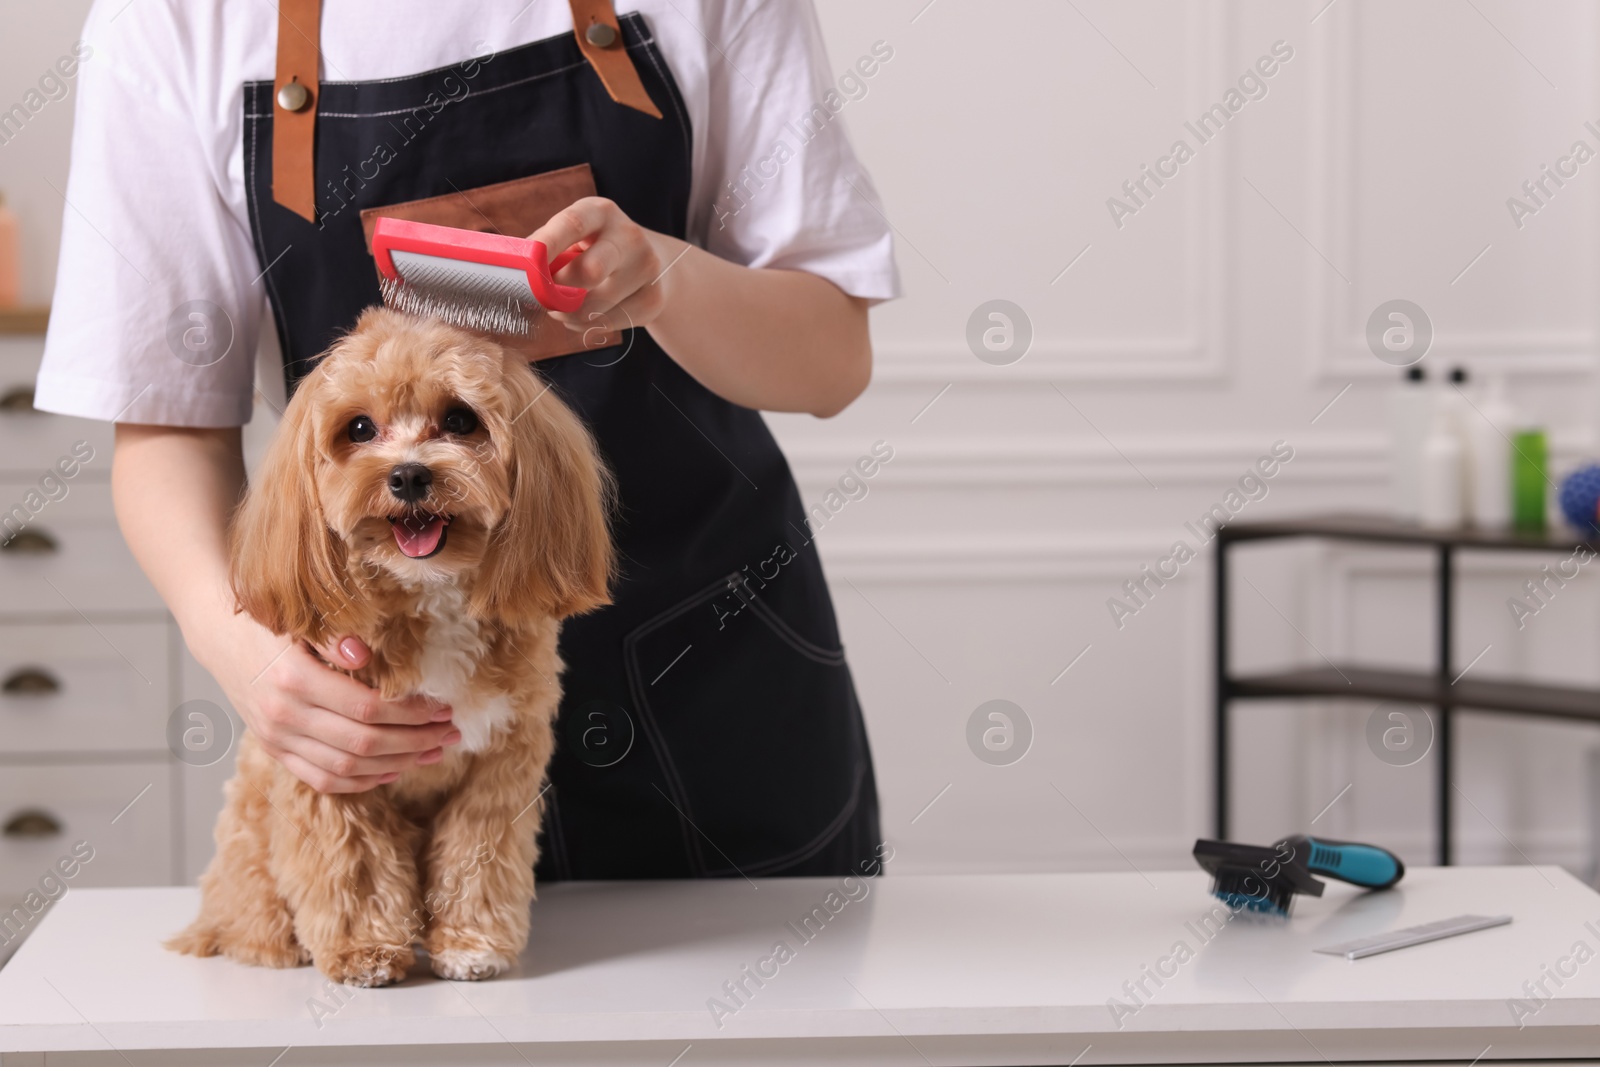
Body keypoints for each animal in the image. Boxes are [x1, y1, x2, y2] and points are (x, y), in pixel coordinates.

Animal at [170, 307, 611, 985]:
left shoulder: (499, 767)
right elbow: (355, 864)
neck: (431, 596)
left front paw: (472, 943)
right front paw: (365, 951)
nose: (407, 474)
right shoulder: (333, 773)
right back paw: (265, 941)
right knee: (249, 903)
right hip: (251, 826)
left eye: (460, 419)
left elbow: (478, 856)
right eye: (359, 428)